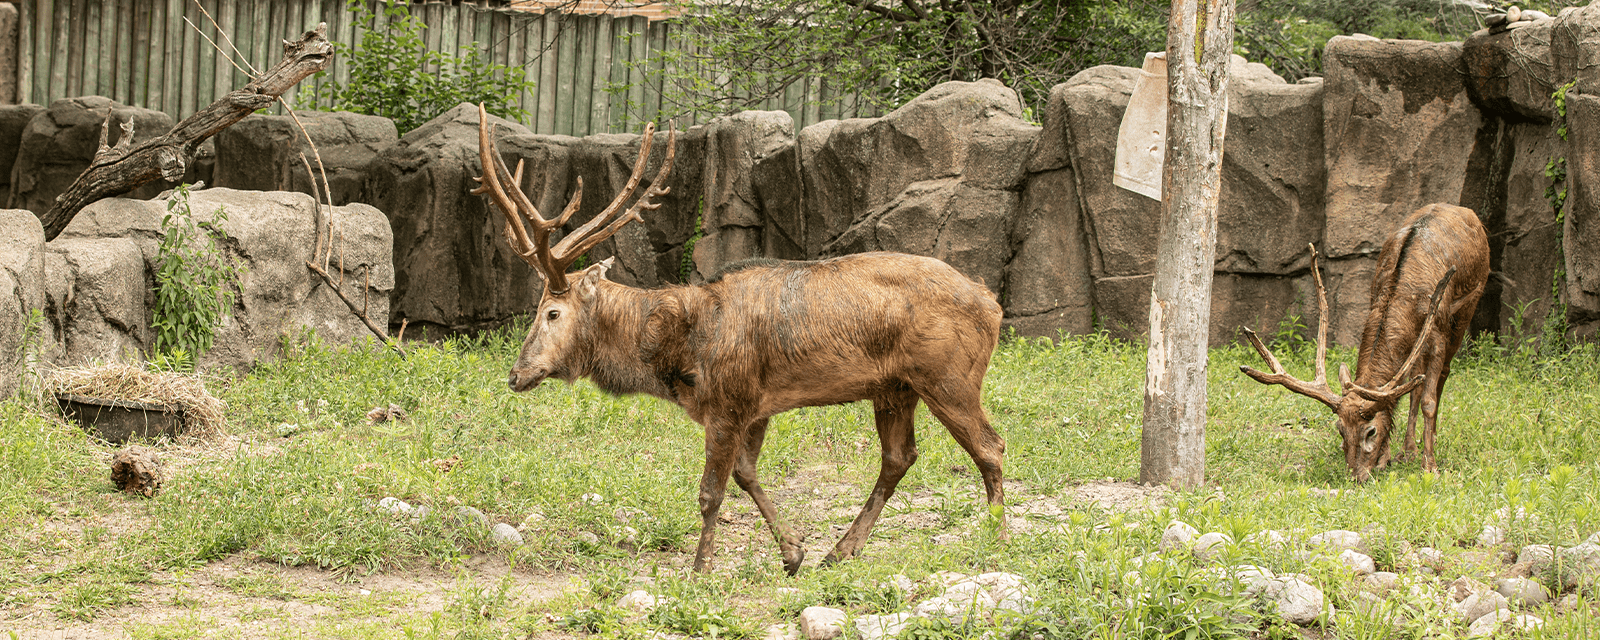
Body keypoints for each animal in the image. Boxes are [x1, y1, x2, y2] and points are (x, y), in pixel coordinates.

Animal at [467, 104, 1004, 576]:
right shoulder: (757, 406)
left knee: (990, 445)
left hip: (948, 376)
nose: (516, 375)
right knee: (899, 457)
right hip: (895, 388)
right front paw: (794, 553)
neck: (678, 356)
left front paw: (699, 570)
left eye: (552, 312)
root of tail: (991, 301)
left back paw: (997, 539)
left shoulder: (727, 402)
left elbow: (711, 492)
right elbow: (747, 475)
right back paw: (840, 551)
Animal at [1235, 204, 1484, 480]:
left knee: (1442, 376)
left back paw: (1431, 442)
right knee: (1414, 385)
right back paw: (1407, 451)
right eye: (1340, 430)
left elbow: (1429, 400)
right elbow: (1401, 392)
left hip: (1468, 307)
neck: (1407, 297)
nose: (1356, 476)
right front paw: (1387, 458)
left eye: (1370, 431)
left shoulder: (1438, 328)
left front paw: (1430, 466)